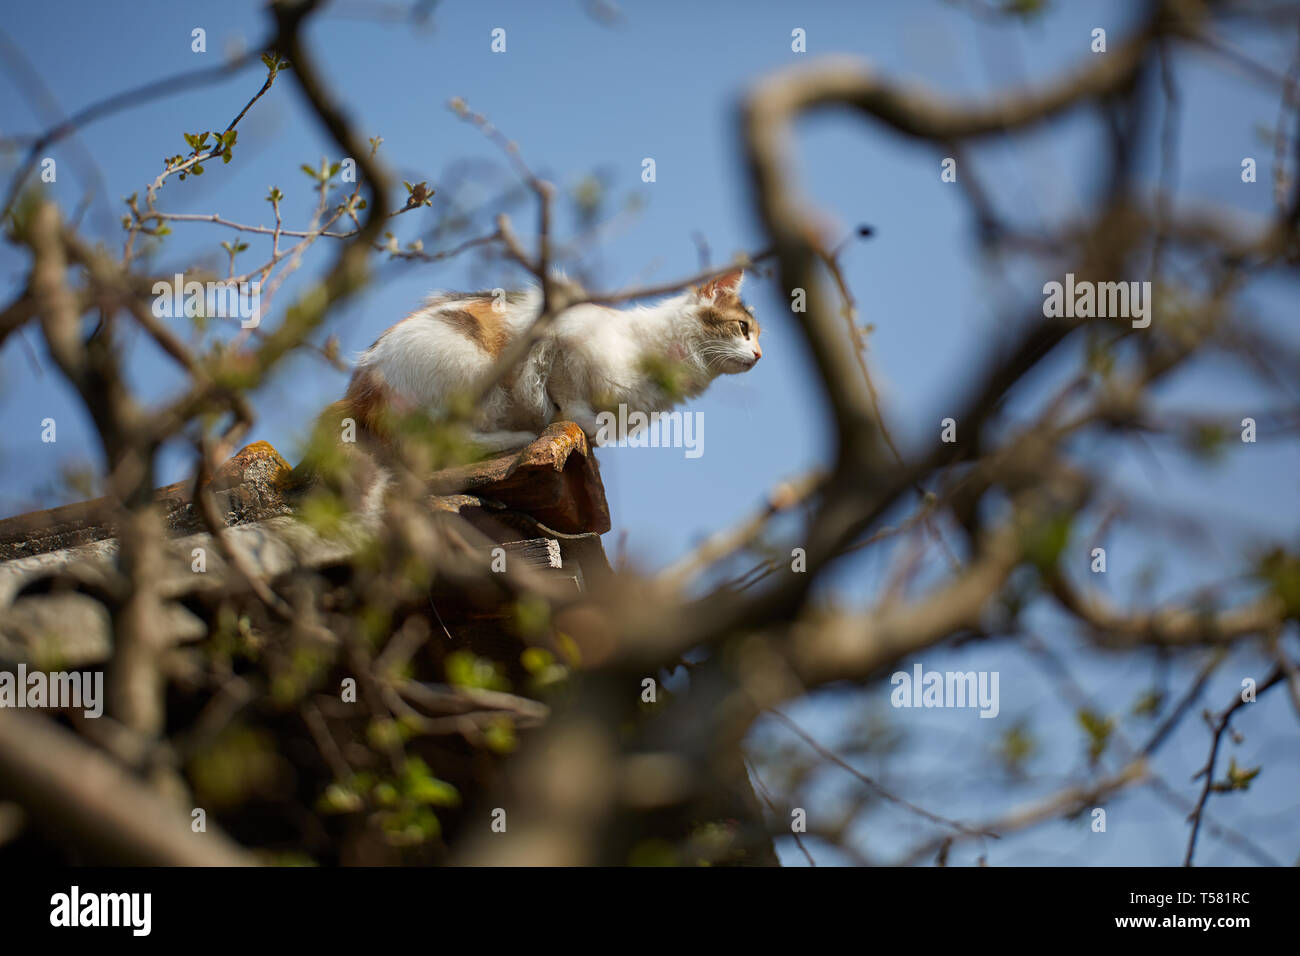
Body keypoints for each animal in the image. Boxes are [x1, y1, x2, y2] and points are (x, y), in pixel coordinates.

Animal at [330, 265, 759, 452]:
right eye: (742, 328)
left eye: (758, 336)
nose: (758, 354)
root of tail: (360, 389)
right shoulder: (562, 343)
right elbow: (570, 400)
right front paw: (580, 425)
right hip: (472, 371)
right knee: (442, 440)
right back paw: (520, 437)